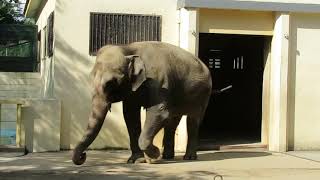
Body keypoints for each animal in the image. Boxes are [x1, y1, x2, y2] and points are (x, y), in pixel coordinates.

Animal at [72, 41, 212, 165]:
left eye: (111, 82)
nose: (83, 155)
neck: (127, 48)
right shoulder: (132, 88)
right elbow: (130, 115)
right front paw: (136, 160)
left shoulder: (159, 80)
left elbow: (159, 112)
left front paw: (154, 155)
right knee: (173, 121)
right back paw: (167, 156)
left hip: (203, 93)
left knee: (193, 120)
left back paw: (189, 157)